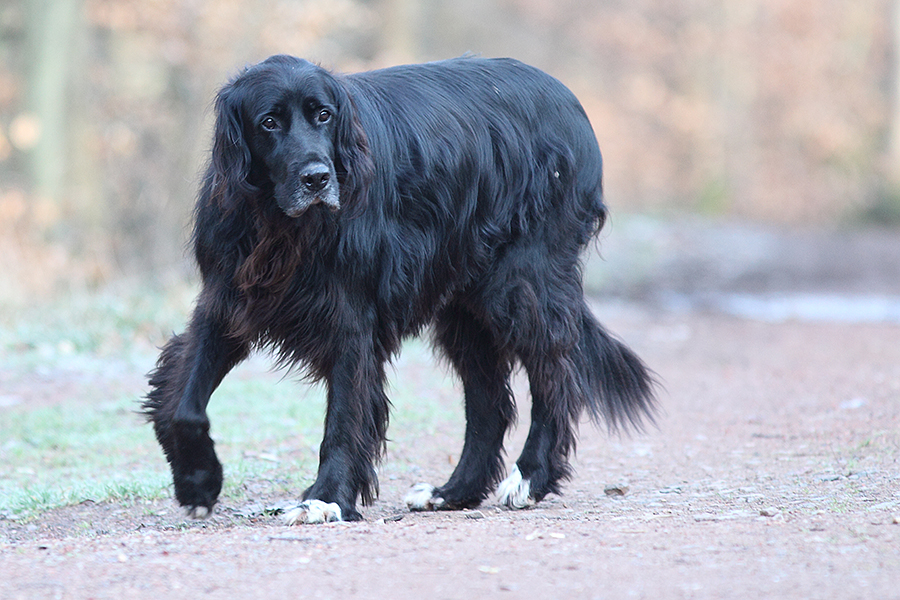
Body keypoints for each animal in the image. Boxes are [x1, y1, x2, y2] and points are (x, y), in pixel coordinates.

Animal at [146, 56, 652, 524]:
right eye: (268, 122)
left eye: (323, 115)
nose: (317, 178)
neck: (279, 225)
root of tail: (568, 100)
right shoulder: (227, 300)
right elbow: (183, 403)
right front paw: (198, 482)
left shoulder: (351, 319)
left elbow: (343, 419)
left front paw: (325, 499)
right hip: (465, 305)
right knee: (490, 403)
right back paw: (452, 492)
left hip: (521, 285)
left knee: (554, 379)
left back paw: (530, 478)